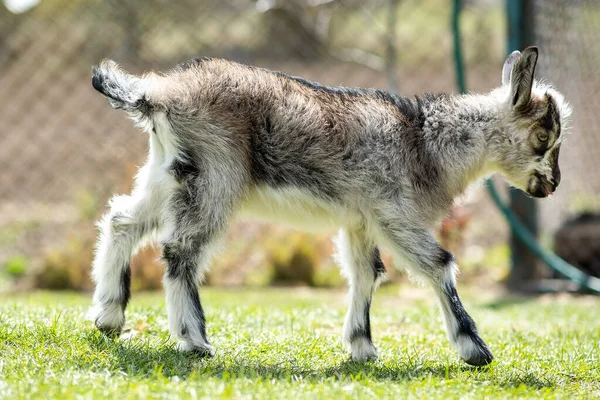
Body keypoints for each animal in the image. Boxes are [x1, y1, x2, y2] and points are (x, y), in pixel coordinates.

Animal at [90, 47, 572, 366]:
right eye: (543, 137)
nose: (552, 185)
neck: (424, 142)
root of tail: (157, 92)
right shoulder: (394, 213)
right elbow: (439, 264)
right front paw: (475, 350)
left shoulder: (360, 221)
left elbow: (367, 273)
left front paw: (362, 348)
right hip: (213, 180)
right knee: (181, 251)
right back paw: (195, 342)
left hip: (167, 176)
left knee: (122, 222)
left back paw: (109, 317)